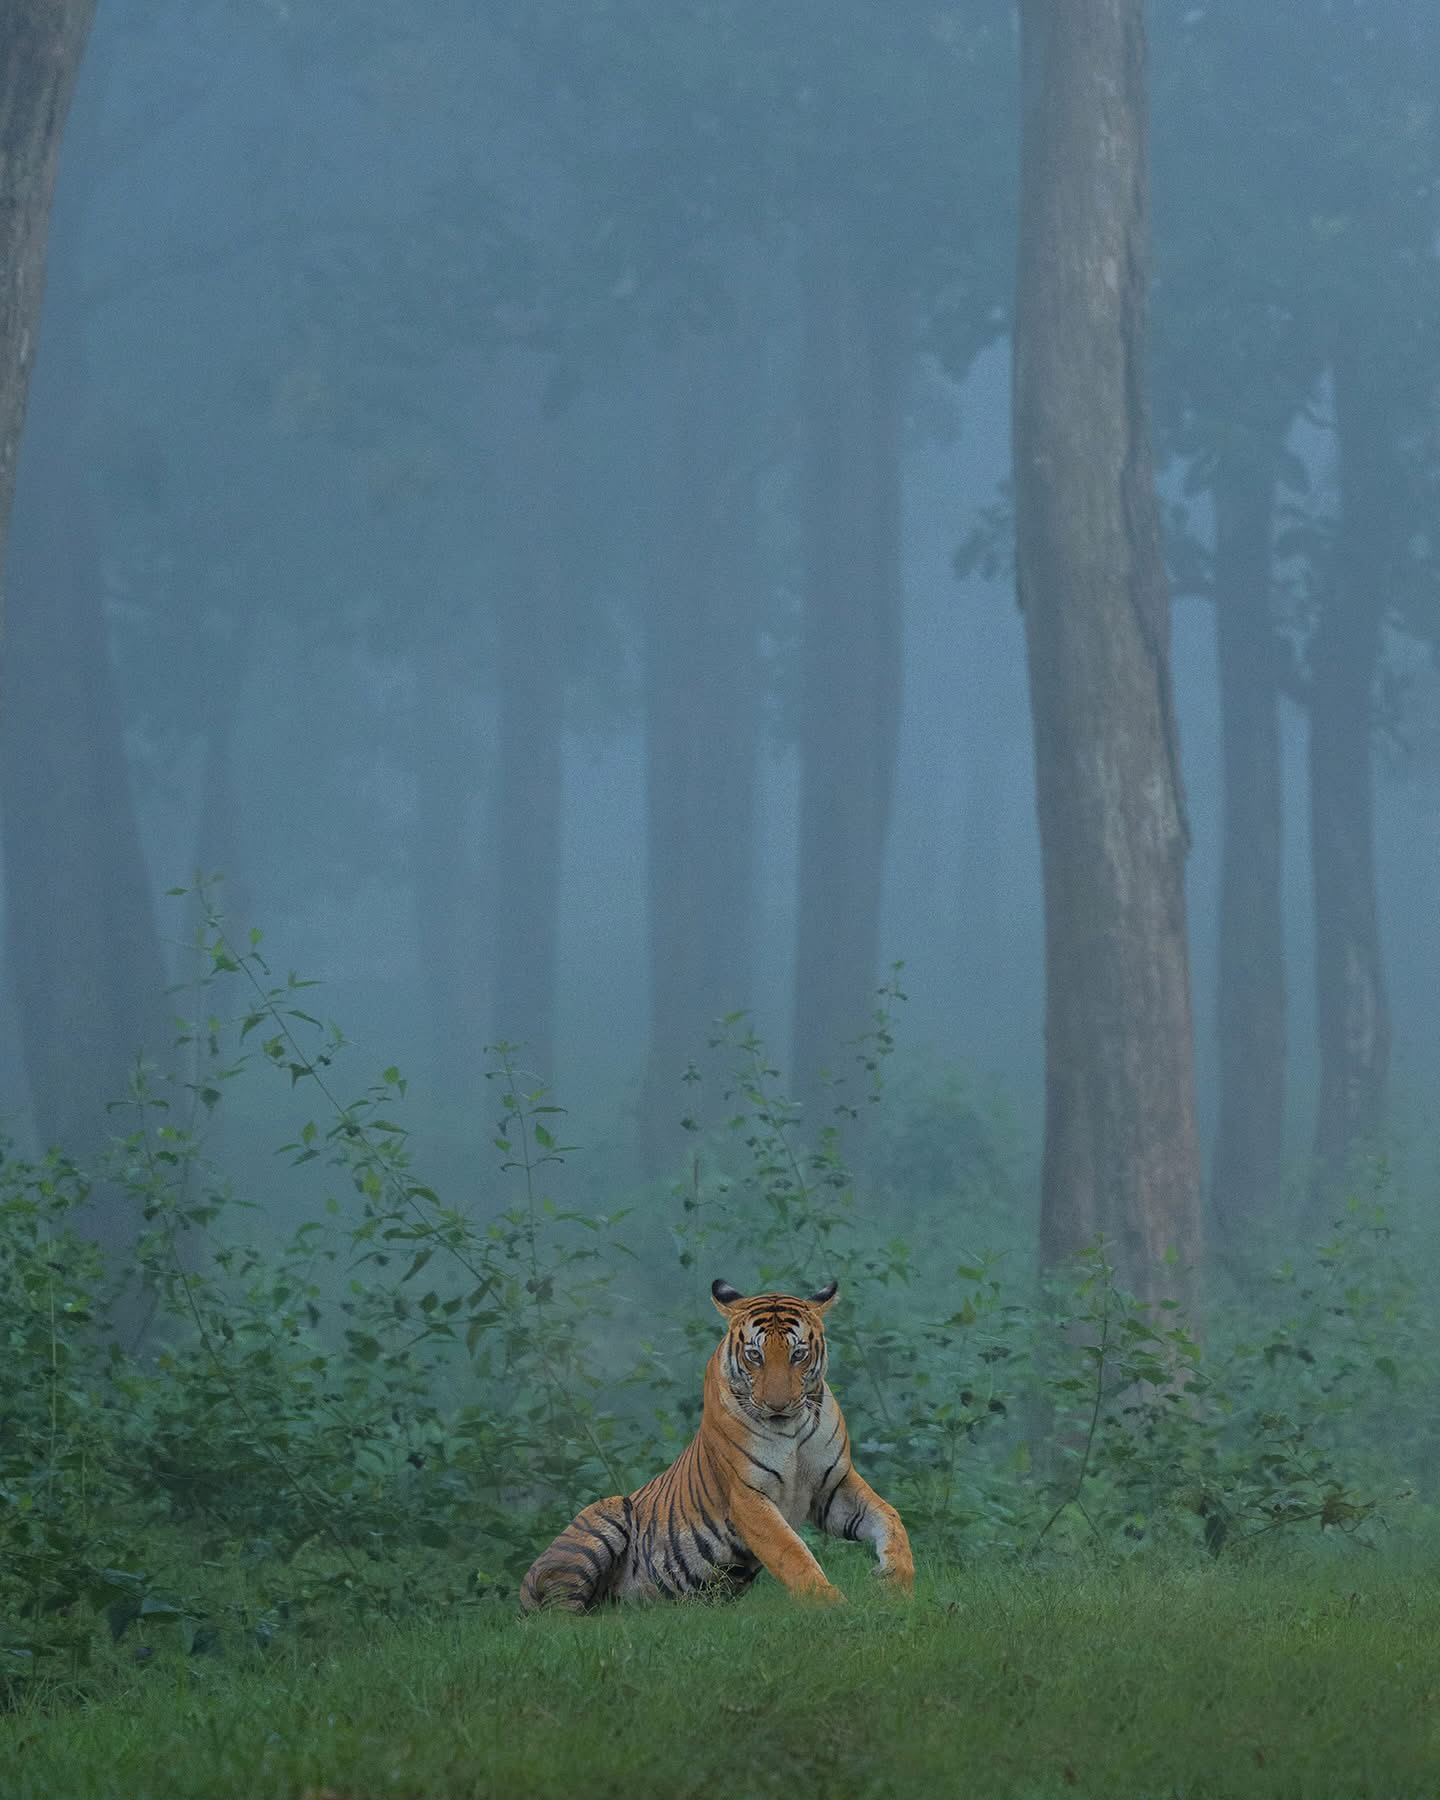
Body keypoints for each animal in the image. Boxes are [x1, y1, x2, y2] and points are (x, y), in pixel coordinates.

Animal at [519, 1277, 914, 1611]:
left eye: (798, 1354)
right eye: (755, 1355)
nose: (777, 1405)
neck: (792, 1430)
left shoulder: (833, 1488)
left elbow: (891, 1518)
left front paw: (896, 1583)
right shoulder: (748, 1497)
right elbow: (791, 1551)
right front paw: (830, 1603)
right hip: (606, 1515)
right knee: (559, 1617)